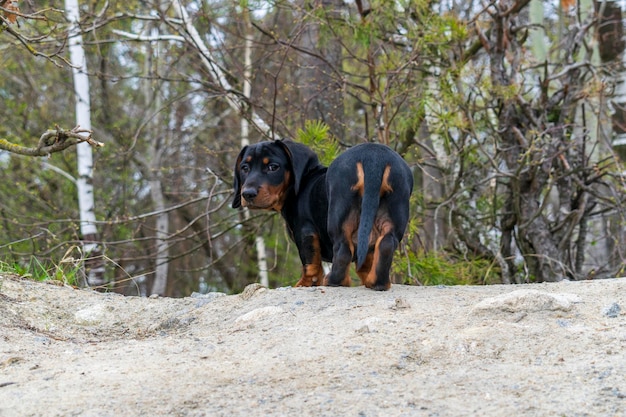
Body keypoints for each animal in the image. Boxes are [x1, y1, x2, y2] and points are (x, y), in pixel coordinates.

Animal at [232, 140, 412, 290]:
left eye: (273, 167)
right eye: (245, 168)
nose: (247, 194)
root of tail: (373, 158)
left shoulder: (305, 231)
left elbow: (310, 263)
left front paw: (305, 284)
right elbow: (366, 262)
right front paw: (367, 276)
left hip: (339, 213)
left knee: (343, 249)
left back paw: (334, 281)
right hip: (394, 208)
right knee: (386, 244)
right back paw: (378, 283)